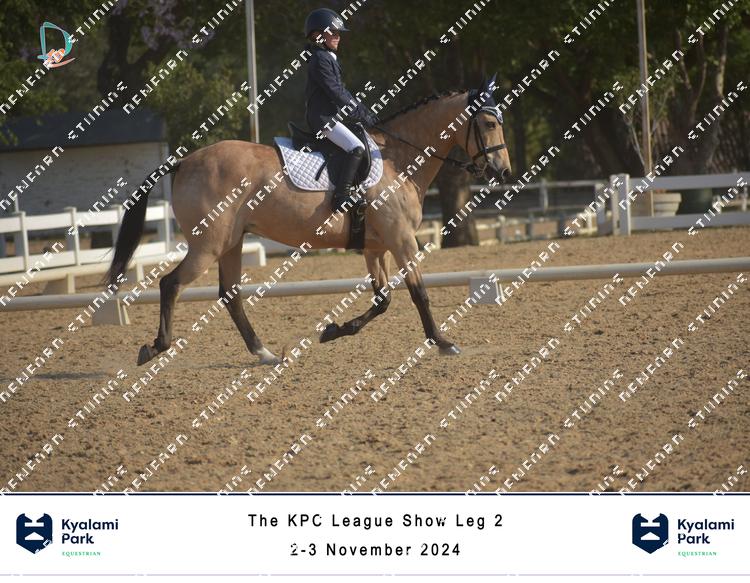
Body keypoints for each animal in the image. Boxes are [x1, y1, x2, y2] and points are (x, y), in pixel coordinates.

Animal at [106, 75, 512, 366]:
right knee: (171, 284)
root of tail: (185, 161)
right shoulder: (401, 241)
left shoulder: (375, 247)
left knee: (230, 295)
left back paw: (265, 353)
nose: (503, 171)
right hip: (208, 245)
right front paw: (443, 342)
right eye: (488, 123)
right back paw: (156, 347)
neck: (398, 158)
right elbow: (419, 294)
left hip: (232, 243)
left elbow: (383, 300)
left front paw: (333, 331)